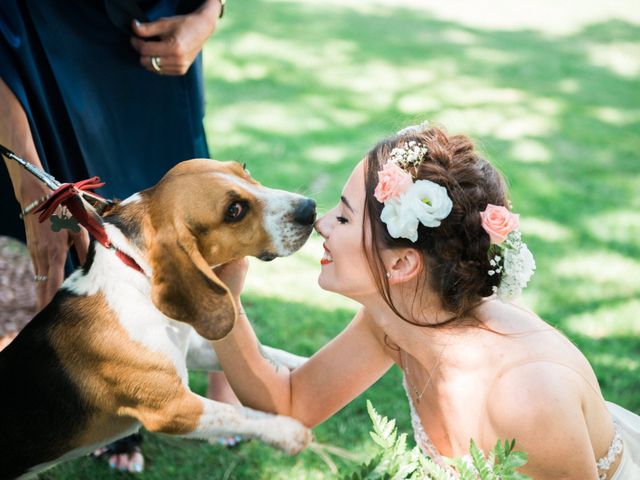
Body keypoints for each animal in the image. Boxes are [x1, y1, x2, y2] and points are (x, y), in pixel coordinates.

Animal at [0, 159, 318, 478]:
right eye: (234, 210)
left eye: (244, 169)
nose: (310, 208)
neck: (135, 271)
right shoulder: (172, 407)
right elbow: (238, 413)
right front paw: (287, 431)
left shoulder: (193, 350)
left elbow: (275, 355)